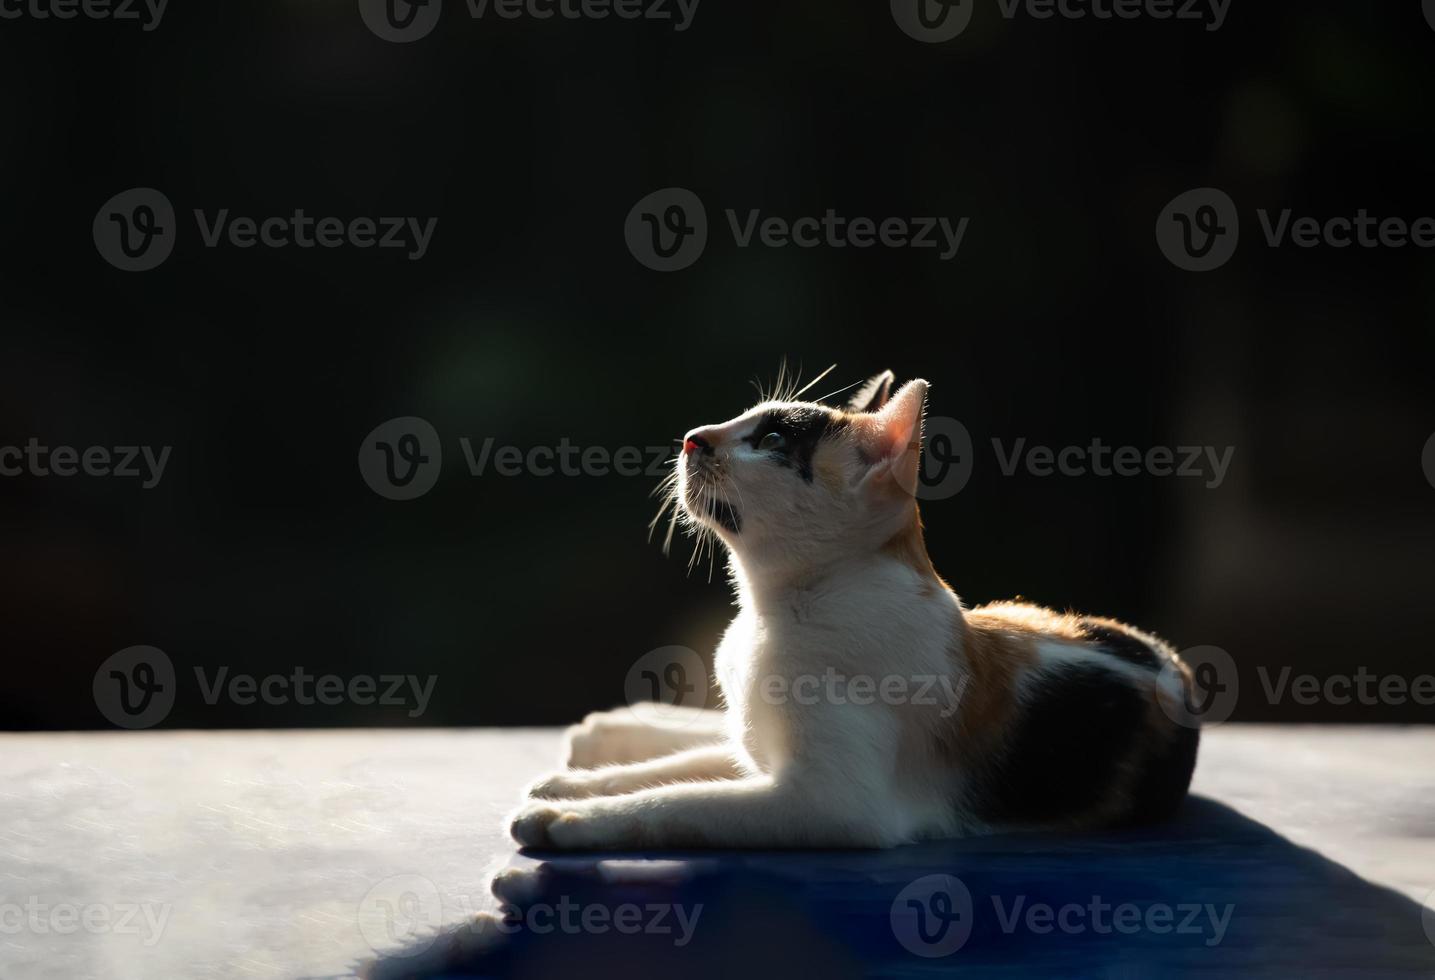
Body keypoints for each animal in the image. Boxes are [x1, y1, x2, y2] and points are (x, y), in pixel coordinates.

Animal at [510, 373, 1205, 849]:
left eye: (771, 439)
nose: (691, 438)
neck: (773, 612)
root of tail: (1172, 661)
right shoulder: (768, 756)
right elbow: (683, 772)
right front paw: (577, 787)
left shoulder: (828, 801)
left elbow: (681, 804)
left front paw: (569, 817)